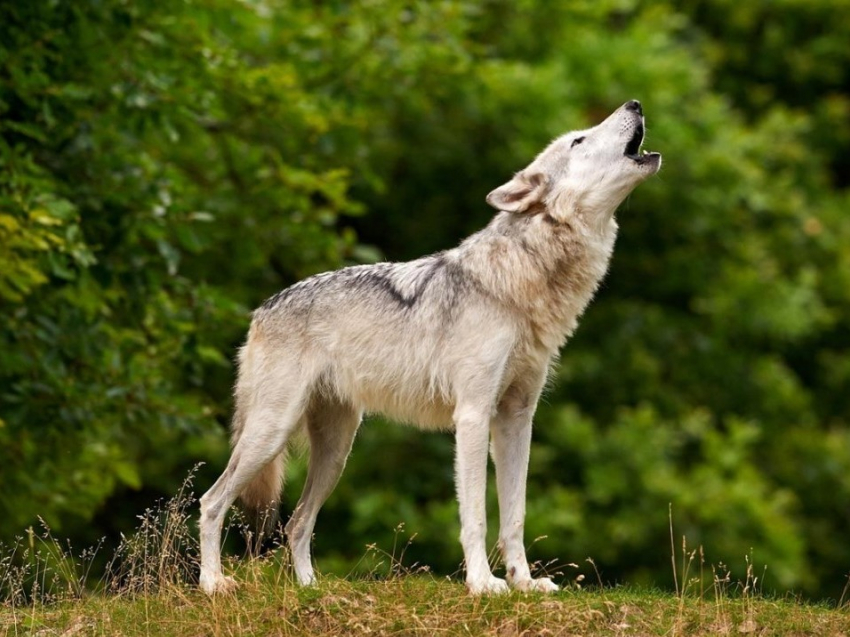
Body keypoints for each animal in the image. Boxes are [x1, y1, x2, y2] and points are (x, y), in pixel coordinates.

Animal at [200, 97, 664, 592]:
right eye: (578, 140)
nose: (635, 102)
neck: (523, 280)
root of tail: (261, 310)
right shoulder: (474, 415)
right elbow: (476, 515)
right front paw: (483, 584)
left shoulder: (518, 419)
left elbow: (515, 516)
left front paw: (524, 583)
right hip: (272, 433)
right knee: (212, 503)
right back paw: (213, 583)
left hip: (336, 450)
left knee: (297, 521)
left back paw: (310, 588)